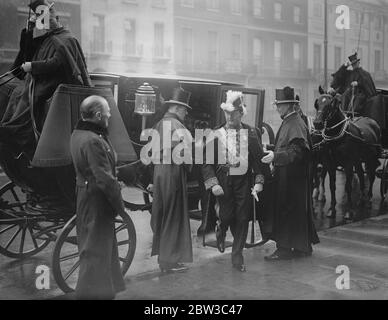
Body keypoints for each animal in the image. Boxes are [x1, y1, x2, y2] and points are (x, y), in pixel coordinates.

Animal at [314, 90, 380, 220]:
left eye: (330, 105)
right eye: (317, 104)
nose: (317, 123)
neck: (337, 137)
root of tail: (372, 121)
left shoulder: (348, 164)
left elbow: (348, 186)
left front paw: (349, 211)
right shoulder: (330, 164)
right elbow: (332, 186)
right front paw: (331, 209)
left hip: (371, 158)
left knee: (371, 176)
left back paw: (369, 199)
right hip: (358, 159)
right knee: (361, 174)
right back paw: (361, 199)